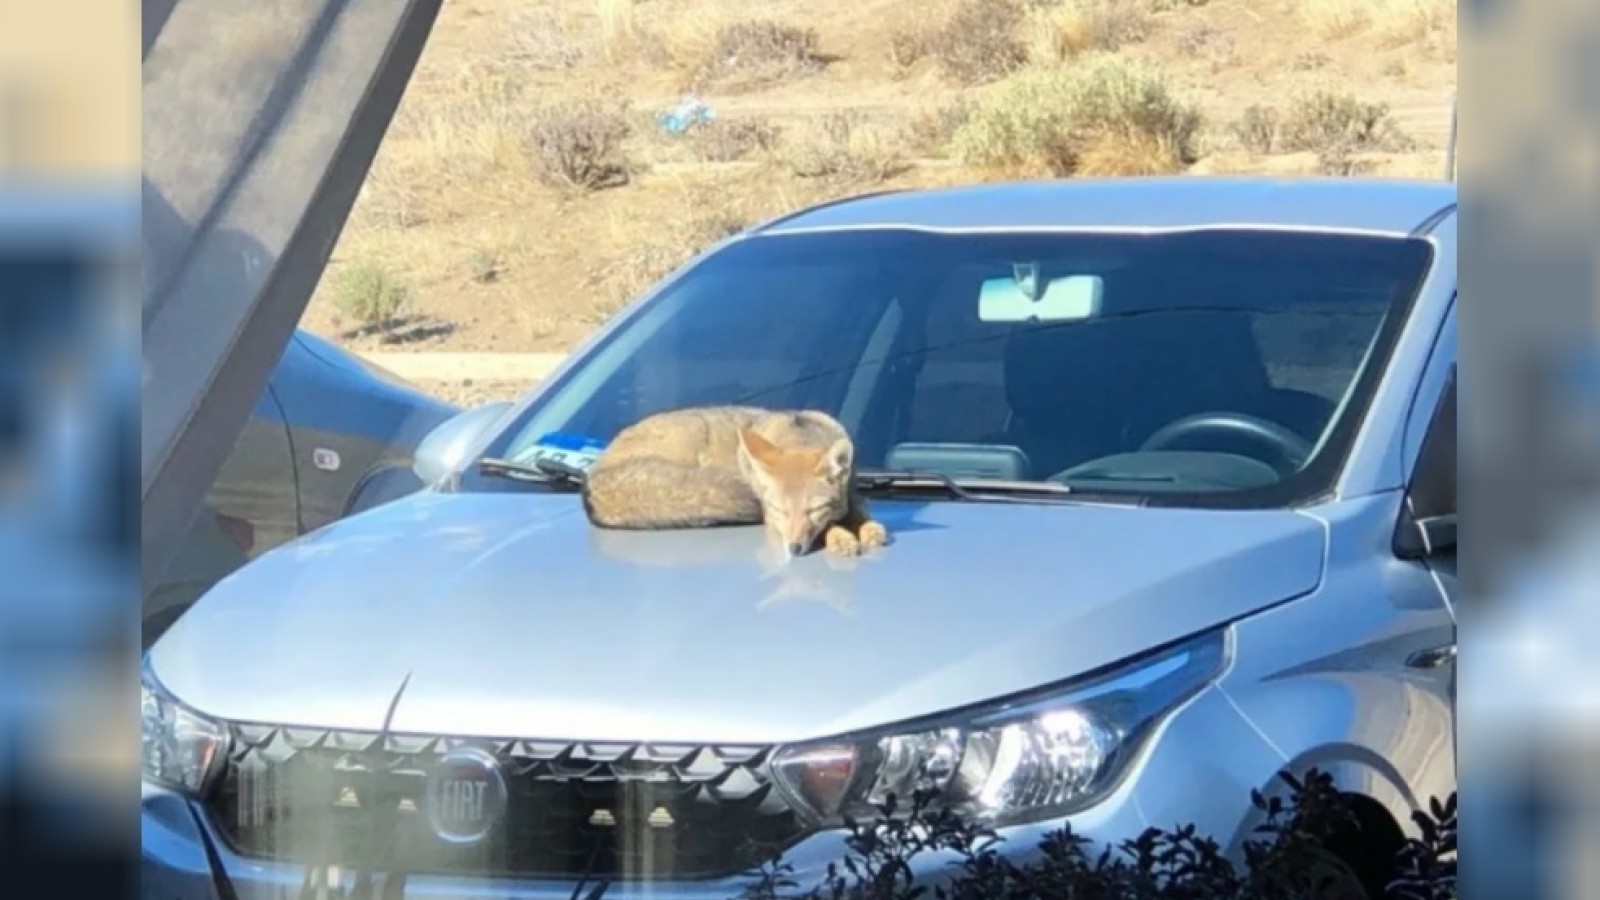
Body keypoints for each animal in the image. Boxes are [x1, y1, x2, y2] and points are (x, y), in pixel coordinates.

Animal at [580, 406, 889, 558]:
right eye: (779, 511)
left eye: (813, 510)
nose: (793, 550)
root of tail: (592, 475)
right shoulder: (773, 520)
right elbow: (828, 527)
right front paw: (839, 536)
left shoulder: (851, 493)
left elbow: (858, 511)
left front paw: (867, 528)